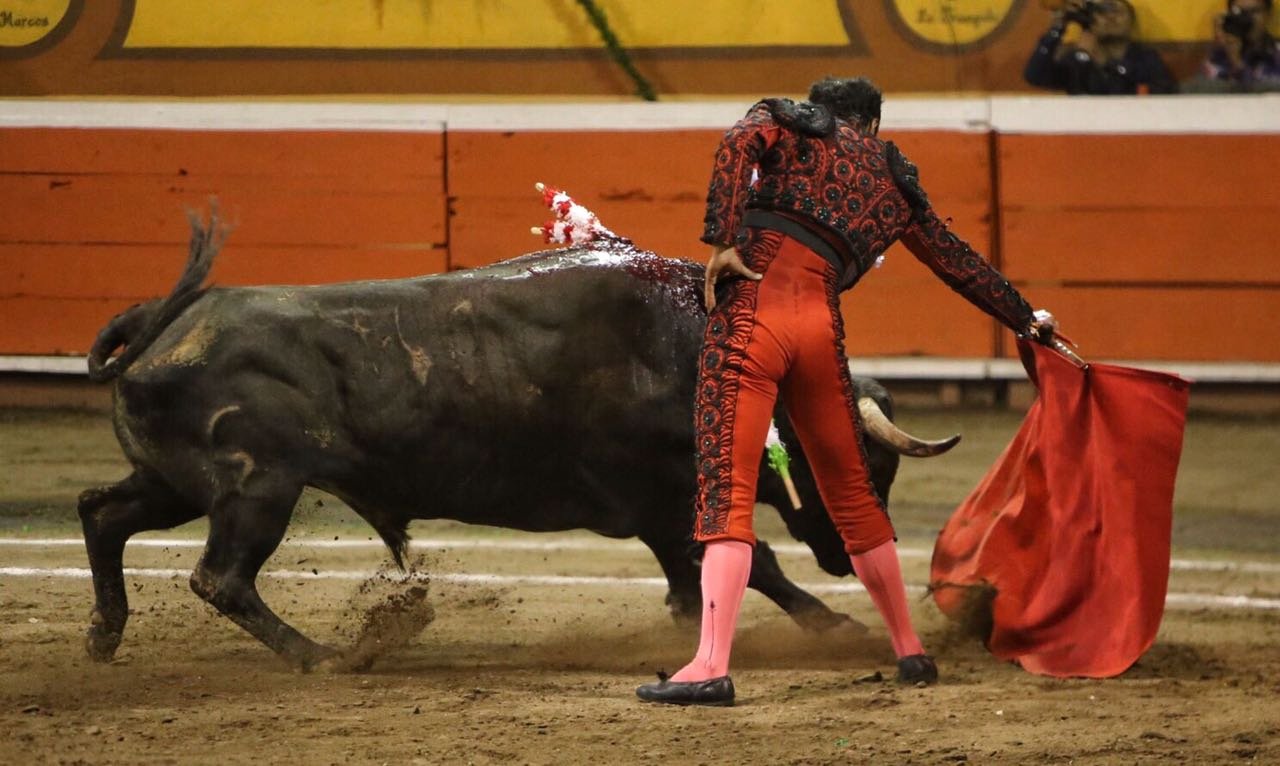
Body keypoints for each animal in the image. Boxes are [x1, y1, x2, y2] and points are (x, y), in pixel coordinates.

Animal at [78, 210, 957, 670]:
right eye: (861, 458)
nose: (849, 555)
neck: (681, 343)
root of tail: (170, 320)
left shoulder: (656, 509)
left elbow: (694, 573)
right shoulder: (663, 498)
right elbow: (752, 560)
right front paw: (833, 624)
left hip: (176, 483)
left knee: (101, 512)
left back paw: (104, 635)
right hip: (255, 486)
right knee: (221, 577)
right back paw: (322, 655)